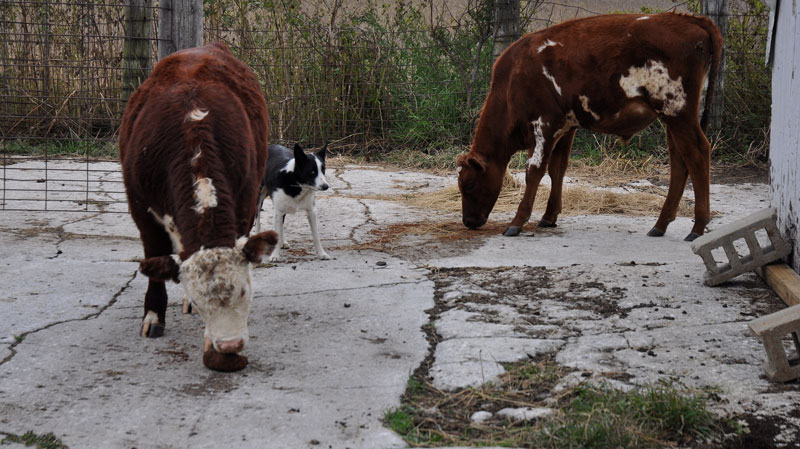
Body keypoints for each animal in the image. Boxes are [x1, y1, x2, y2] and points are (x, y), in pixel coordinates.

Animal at [119, 43, 276, 368]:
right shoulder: (140, 208)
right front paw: (154, 315)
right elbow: (154, 256)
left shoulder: (245, 202)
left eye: (244, 290)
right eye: (203, 300)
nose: (230, 345)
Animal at [457, 13, 723, 242]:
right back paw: (660, 224)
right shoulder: (565, 128)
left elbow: (534, 172)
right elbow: (557, 169)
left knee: (697, 154)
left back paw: (698, 227)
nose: (468, 222)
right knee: (679, 161)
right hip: (672, 118)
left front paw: (517, 222)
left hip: (678, 113)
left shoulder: (543, 126)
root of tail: (691, 20)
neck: (513, 78)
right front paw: (549, 216)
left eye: (468, 185)